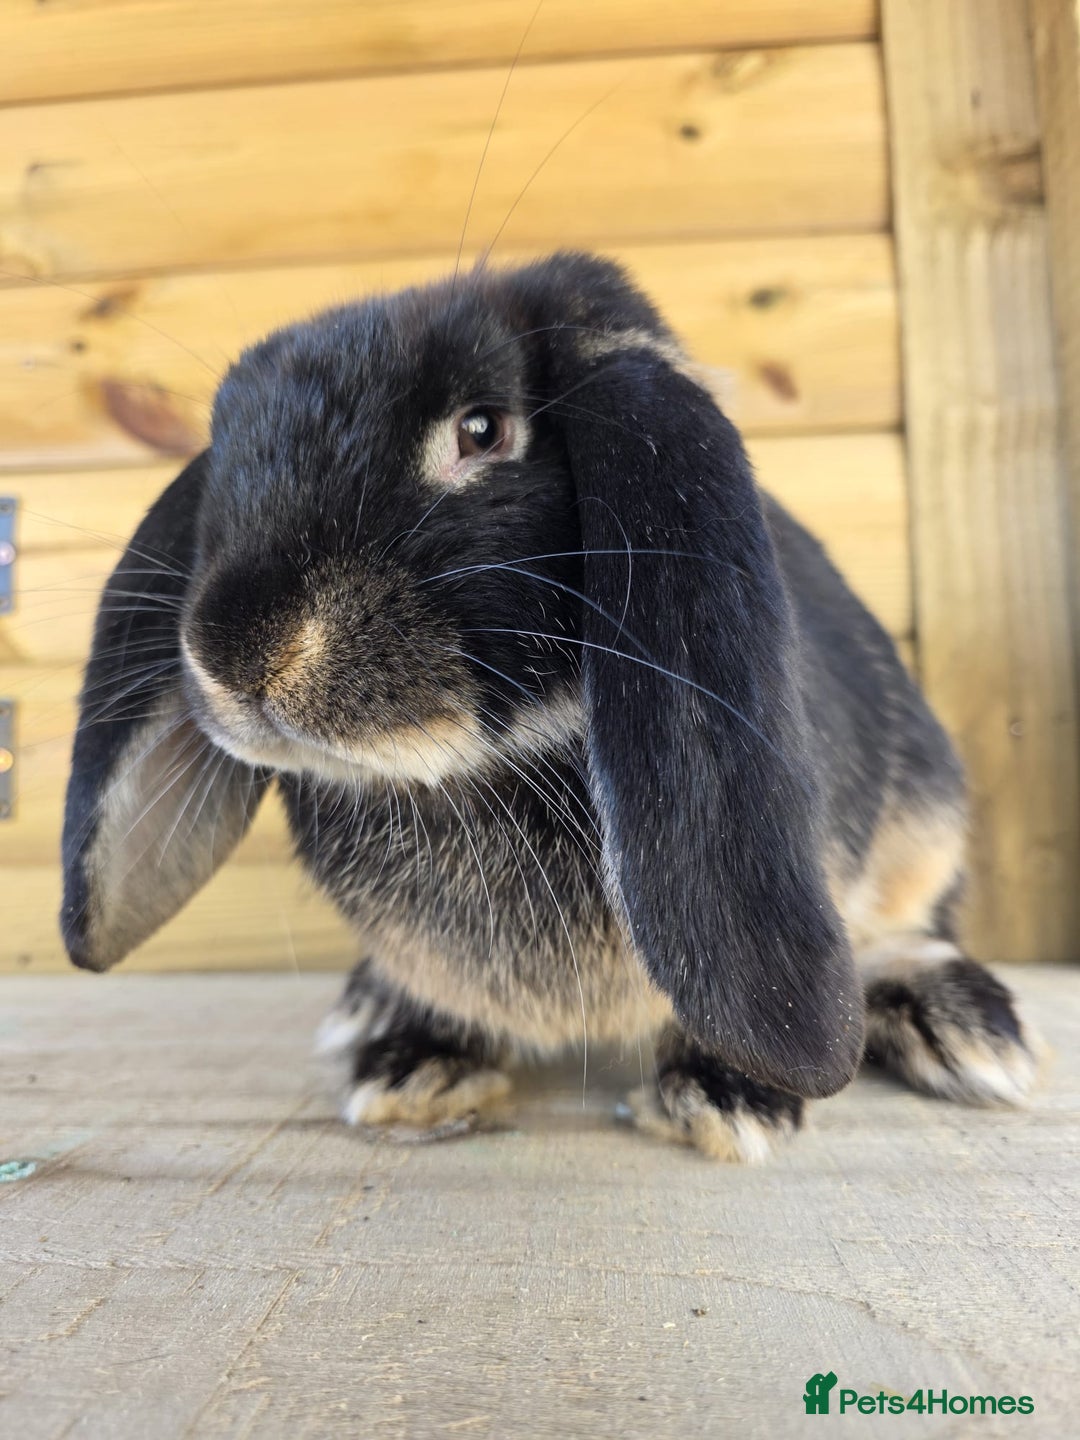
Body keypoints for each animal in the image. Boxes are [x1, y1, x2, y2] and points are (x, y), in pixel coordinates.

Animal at [60, 252, 1036, 1162]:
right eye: (226, 449)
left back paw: (965, 1026)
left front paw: (730, 1098)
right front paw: (414, 1069)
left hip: (925, 815)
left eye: (482, 430)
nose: (237, 650)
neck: (479, 773)